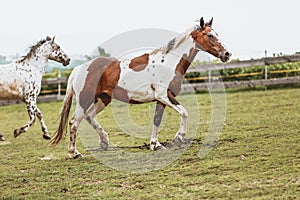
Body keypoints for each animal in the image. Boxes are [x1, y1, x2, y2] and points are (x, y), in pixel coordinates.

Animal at [51, 17, 231, 158]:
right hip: (85, 99)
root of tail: (79, 69)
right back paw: (74, 153)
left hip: (103, 99)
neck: (168, 62)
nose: (227, 54)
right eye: (210, 35)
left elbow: (157, 120)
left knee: (89, 116)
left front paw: (155, 145)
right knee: (74, 122)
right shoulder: (164, 95)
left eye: (217, 34)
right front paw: (178, 138)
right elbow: (184, 112)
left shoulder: (161, 100)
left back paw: (104, 142)